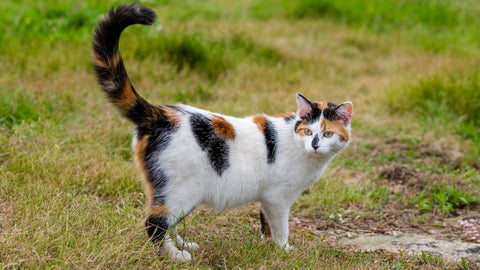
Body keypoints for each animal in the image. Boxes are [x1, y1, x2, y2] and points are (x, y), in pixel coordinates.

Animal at [92, 3, 352, 262]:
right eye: (308, 131)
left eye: (327, 134)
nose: (315, 144)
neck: (299, 147)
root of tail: (160, 114)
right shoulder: (278, 197)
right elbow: (280, 227)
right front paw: (284, 249)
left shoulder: (267, 197)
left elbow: (265, 224)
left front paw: (267, 246)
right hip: (181, 190)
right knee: (155, 223)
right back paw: (175, 255)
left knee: (168, 223)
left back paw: (183, 244)